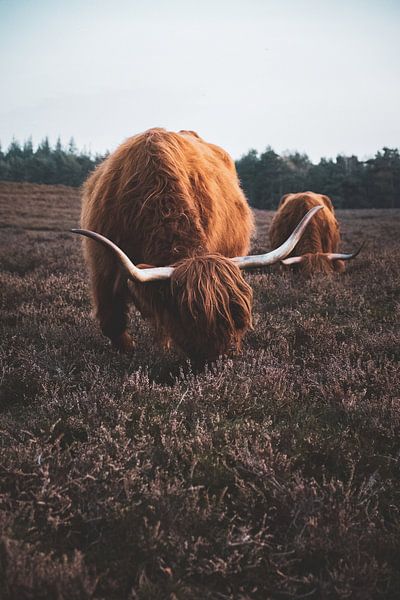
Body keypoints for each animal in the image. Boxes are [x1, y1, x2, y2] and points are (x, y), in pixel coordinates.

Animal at [72, 127, 322, 360]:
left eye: (240, 318)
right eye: (192, 316)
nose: (224, 360)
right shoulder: (104, 265)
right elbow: (112, 321)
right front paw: (129, 352)